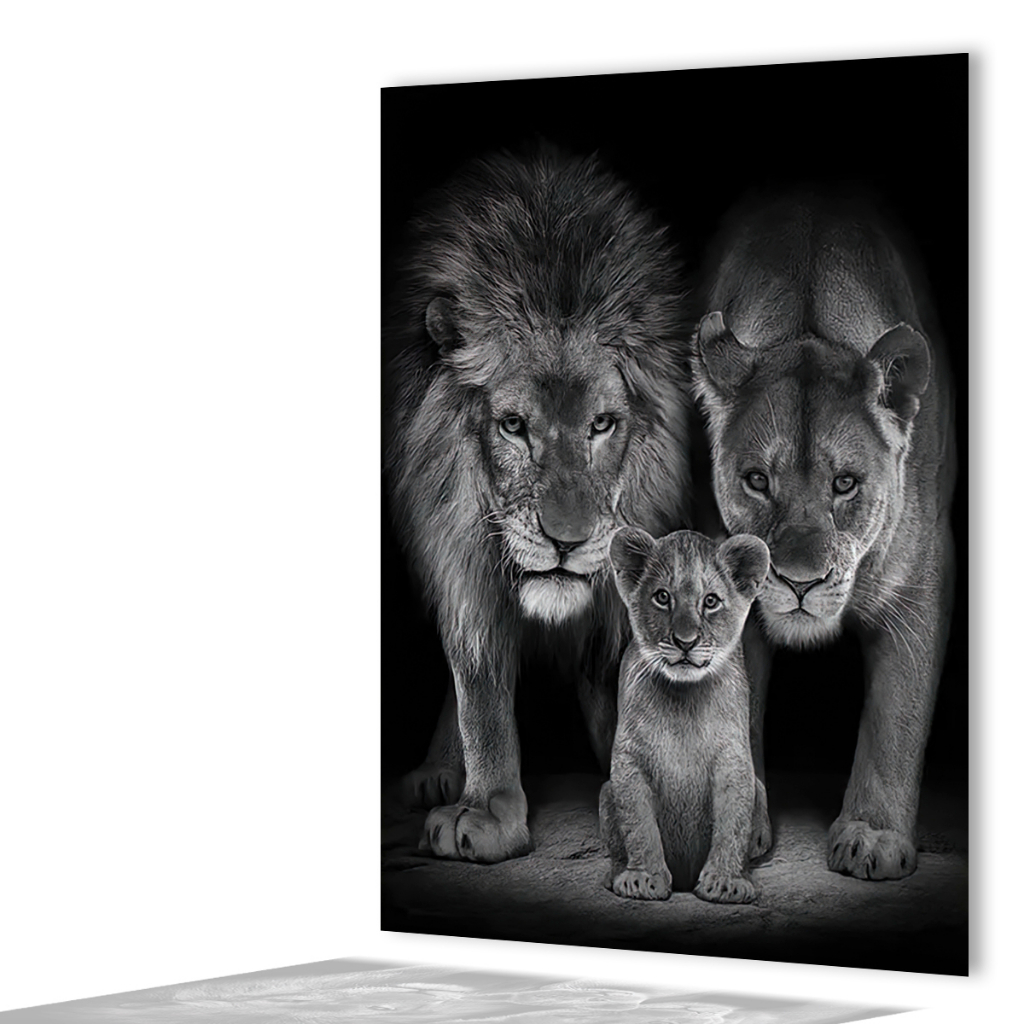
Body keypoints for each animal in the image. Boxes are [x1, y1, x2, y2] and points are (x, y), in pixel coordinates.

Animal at [384, 145, 690, 864]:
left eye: (602, 425)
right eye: (514, 426)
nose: (567, 542)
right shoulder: (458, 551)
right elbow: (478, 685)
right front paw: (486, 811)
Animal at [600, 527, 769, 904]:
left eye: (711, 601)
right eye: (662, 597)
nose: (685, 641)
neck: (684, 697)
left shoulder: (734, 758)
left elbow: (733, 822)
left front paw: (725, 882)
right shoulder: (628, 759)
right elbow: (639, 824)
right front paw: (643, 878)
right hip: (604, 792)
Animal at [692, 192, 956, 880]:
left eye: (845, 483)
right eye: (757, 480)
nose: (799, 583)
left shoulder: (921, 584)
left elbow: (897, 716)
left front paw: (873, 835)